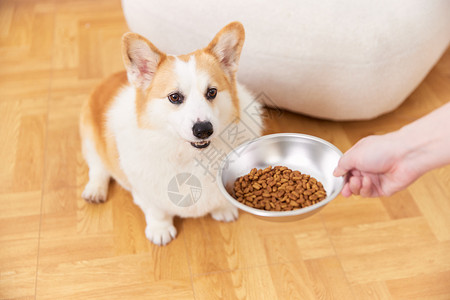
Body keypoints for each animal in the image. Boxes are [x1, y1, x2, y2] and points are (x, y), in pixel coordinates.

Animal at [79, 22, 262, 245]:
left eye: (212, 92)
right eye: (174, 97)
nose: (204, 130)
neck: (189, 154)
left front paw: (224, 209)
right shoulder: (146, 192)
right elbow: (157, 211)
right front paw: (160, 230)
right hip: (89, 138)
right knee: (98, 168)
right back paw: (95, 190)